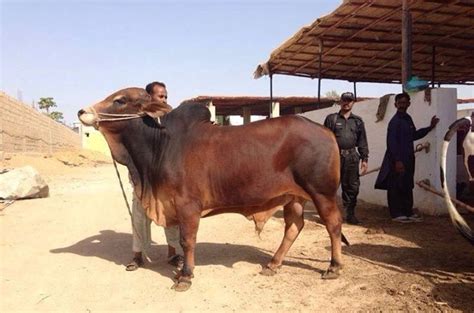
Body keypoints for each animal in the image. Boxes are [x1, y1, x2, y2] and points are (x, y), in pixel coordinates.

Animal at [77, 87, 344, 290]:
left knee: (333, 224)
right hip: (294, 196)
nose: (81, 111)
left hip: (322, 192)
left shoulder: (187, 206)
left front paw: (185, 276)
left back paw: (334, 266)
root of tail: (325, 129)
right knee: (294, 226)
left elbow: (187, 240)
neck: (160, 145)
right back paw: (273, 264)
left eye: (120, 100)